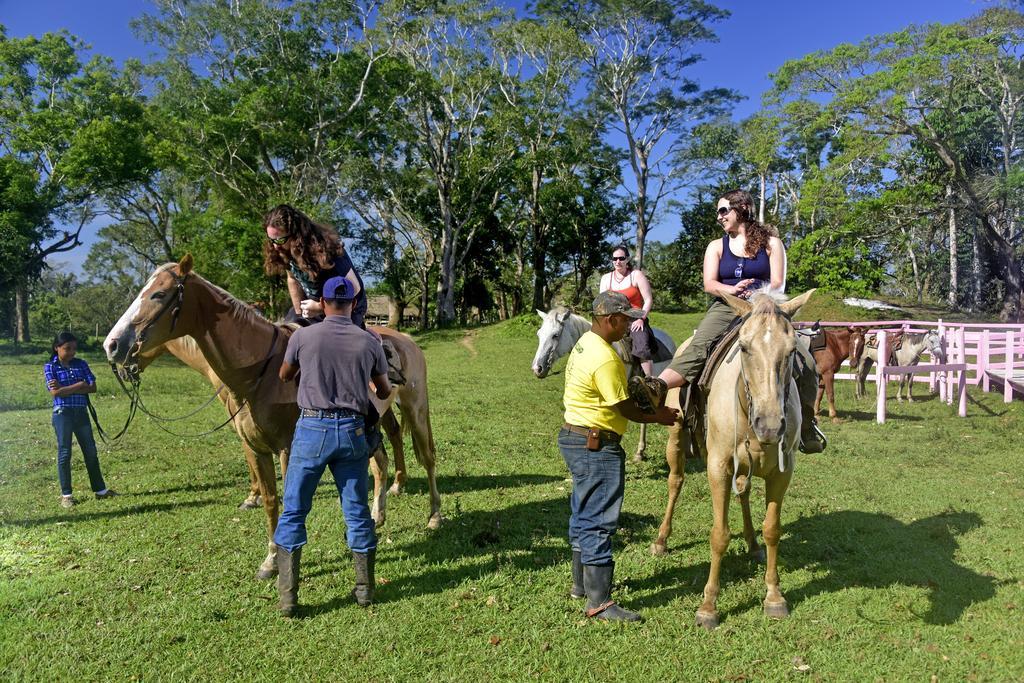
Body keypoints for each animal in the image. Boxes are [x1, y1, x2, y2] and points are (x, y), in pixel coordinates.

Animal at [105, 259, 442, 581]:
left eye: (159, 294)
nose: (112, 345)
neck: (260, 374)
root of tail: (405, 339)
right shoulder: (256, 447)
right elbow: (271, 502)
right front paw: (270, 560)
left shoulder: (288, 449)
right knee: (380, 463)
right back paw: (377, 516)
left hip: (415, 407)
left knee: (427, 457)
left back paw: (434, 516)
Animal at [651, 288, 811, 630]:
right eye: (744, 347)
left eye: (792, 350)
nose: (769, 425)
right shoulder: (718, 467)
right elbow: (719, 534)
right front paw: (708, 607)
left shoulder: (783, 472)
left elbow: (772, 529)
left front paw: (774, 596)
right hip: (676, 438)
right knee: (675, 482)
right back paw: (661, 540)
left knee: (744, 493)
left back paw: (752, 544)